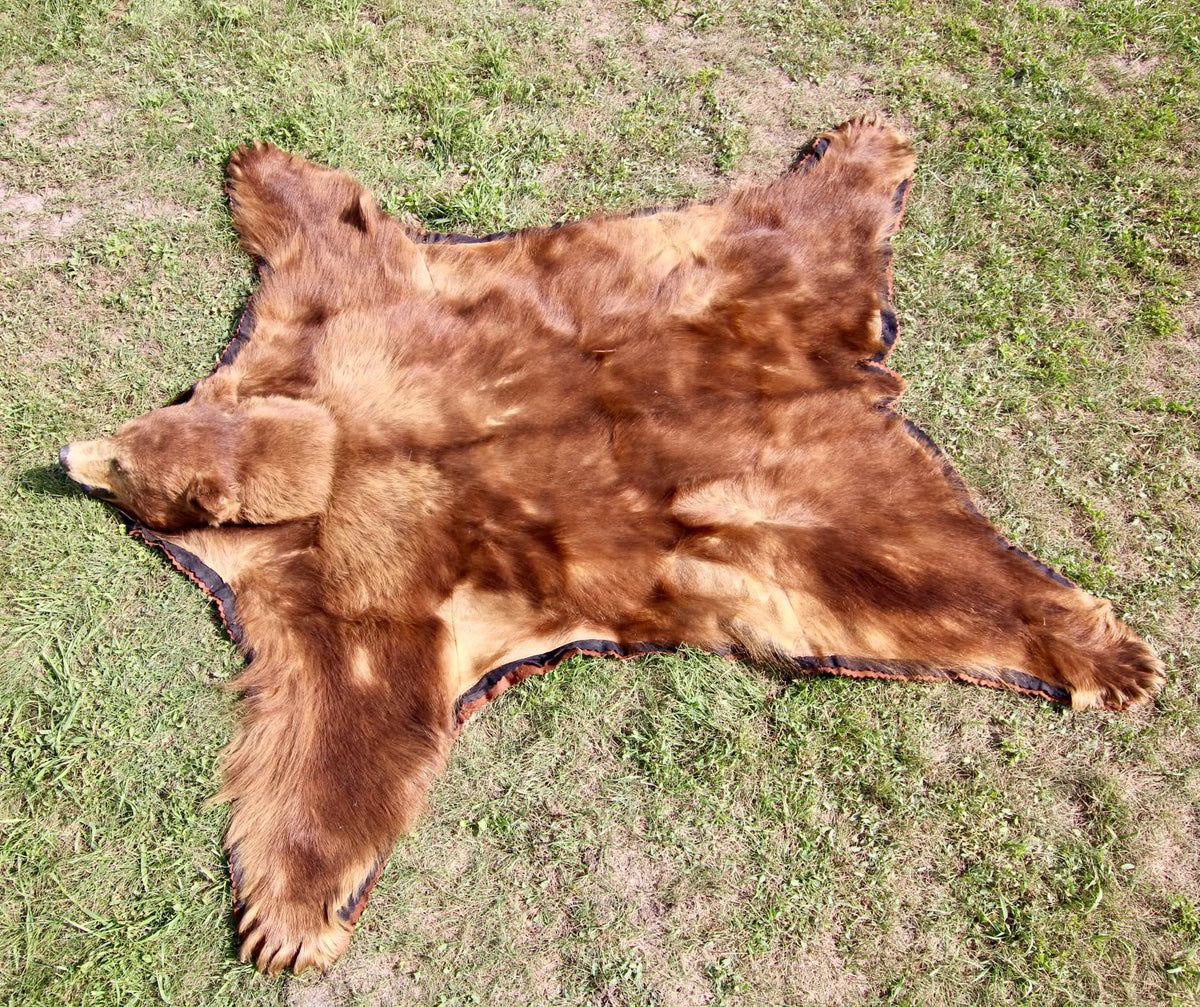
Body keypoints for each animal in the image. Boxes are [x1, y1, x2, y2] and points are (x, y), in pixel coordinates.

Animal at [59, 117, 1165, 974]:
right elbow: (329, 229)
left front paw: (290, 908)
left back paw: (1103, 650)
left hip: (829, 515)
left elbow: (350, 735)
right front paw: (264, 167)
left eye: (124, 462)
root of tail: (850, 372)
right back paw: (869, 154)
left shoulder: (362, 589)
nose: (68, 453)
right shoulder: (335, 337)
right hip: (764, 322)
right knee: (800, 236)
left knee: (943, 584)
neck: (329, 445)